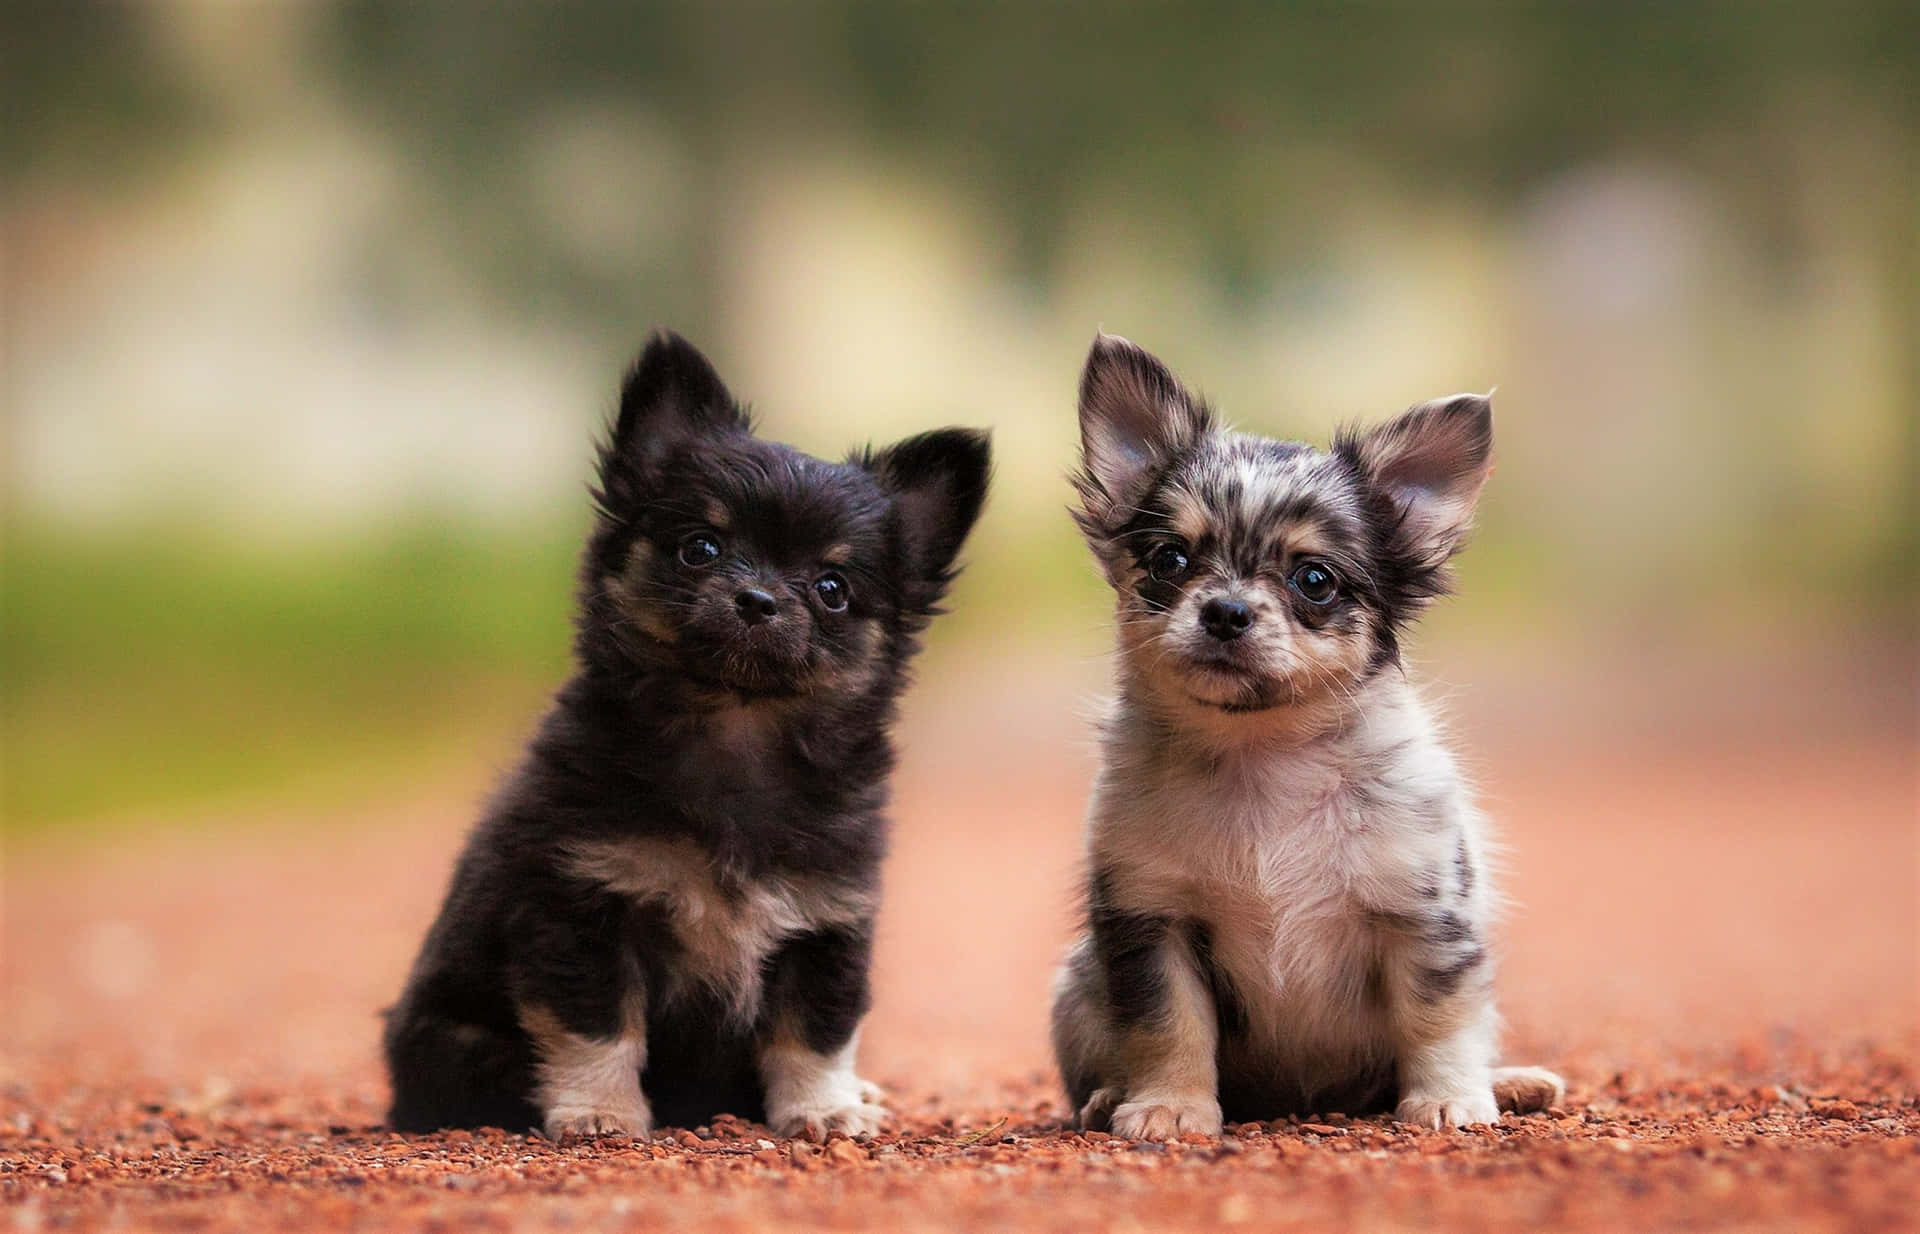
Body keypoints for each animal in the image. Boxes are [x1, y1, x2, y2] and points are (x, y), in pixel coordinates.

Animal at [384, 330, 998, 1136]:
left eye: (832, 589)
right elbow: (598, 1026)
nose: (758, 598)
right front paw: (600, 1111)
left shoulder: (827, 924)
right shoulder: (580, 907)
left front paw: (824, 1110)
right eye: (700, 548)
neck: (734, 732)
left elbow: (813, 1032)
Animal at [1052, 335, 1559, 1136]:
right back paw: (1106, 1099)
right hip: (1079, 982)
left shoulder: (1423, 917)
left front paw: (1448, 1098)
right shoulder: (1152, 922)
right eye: (1170, 560)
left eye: (1314, 580)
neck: (1264, 758)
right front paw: (1169, 1106)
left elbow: (1438, 1017)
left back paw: (1510, 1083)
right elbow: (1168, 1026)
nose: (1225, 611)